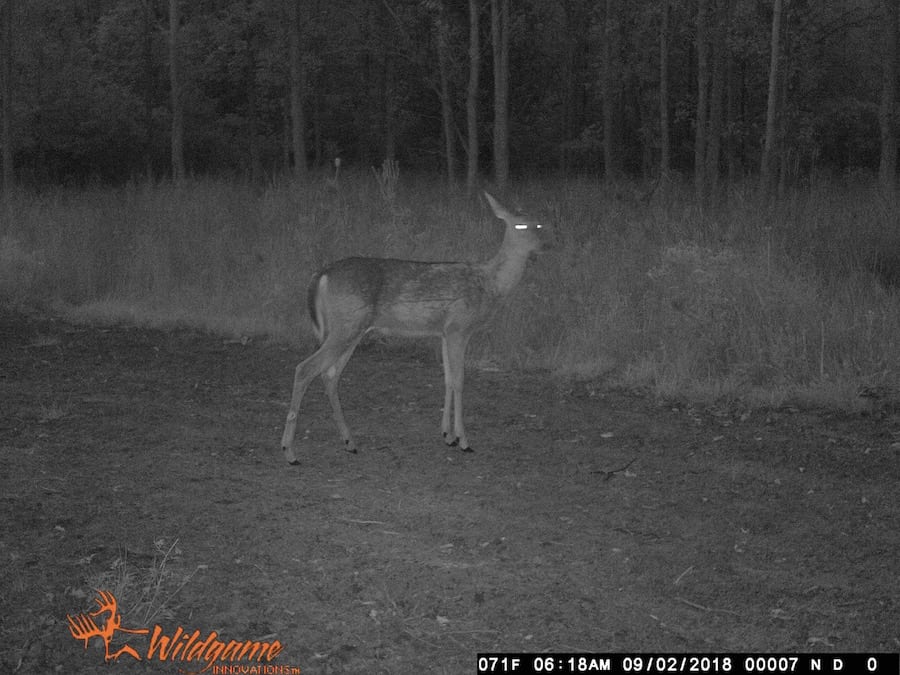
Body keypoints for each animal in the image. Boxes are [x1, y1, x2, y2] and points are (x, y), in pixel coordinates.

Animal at [280, 191, 548, 466]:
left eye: (539, 223)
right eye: (525, 225)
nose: (545, 246)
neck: (490, 284)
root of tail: (321, 274)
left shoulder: (444, 332)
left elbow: (448, 379)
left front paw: (447, 435)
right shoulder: (459, 327)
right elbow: (459, 380)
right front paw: (463, 440)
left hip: (349, 329)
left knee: (329, 375)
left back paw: (349, 442)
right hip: (346, 327)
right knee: (305, 369)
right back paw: (290, 451)